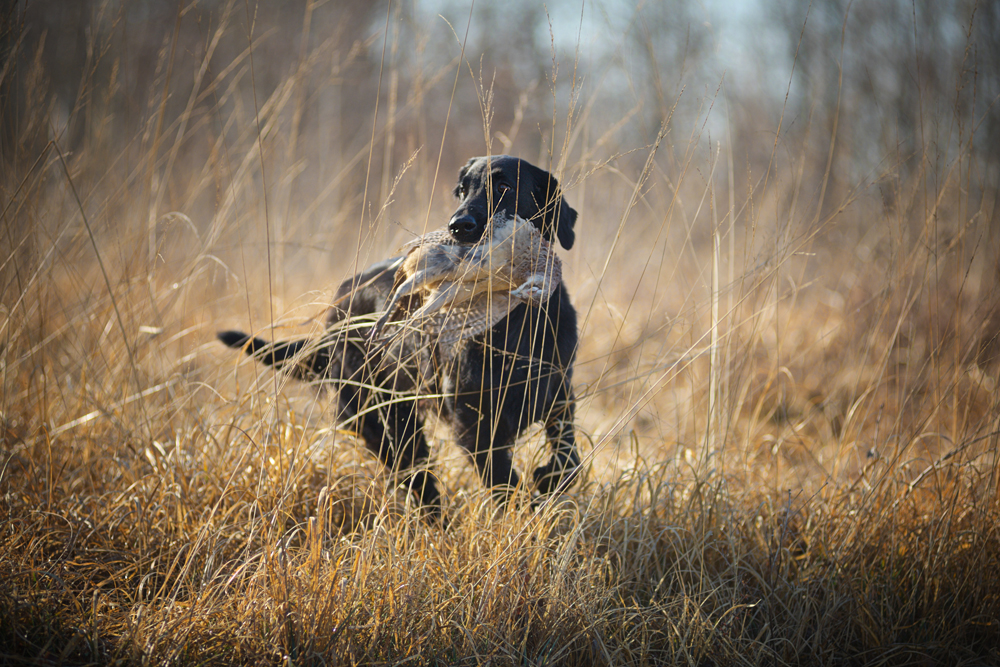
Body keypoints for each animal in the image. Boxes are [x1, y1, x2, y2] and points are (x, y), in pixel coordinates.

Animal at [219, 155, 580, 516]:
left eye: (504, 186)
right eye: (461, 190)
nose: (458, 226)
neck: (520, 326)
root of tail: (334, 313)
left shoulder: (559, 394)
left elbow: (569, 459)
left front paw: (547, 478)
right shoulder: (471, 425)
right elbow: (506, 484)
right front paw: (530, 510)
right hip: (384, 423)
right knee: (422, 485)